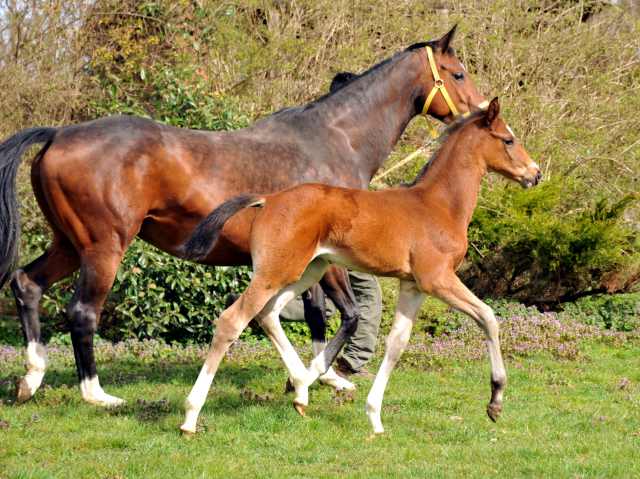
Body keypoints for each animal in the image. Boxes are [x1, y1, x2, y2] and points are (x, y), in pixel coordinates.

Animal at [0, 26, 484, 406]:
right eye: (459, 73)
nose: (482, 113)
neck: (334, 139)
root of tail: (59, 134)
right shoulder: (328, 261)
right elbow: (347, 315)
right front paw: (310, 378)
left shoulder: (311, 261)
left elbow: (315, 316)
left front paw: (316, 377)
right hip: (104, 248)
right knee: (82, 312)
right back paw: (97, 395)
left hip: (70, 243)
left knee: (27, 284)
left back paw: (31, 378)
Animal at [176, 97, 540, 436]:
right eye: (508, 140)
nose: (535, 174)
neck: (440, 204)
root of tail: (270, 199)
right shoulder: (437, 279)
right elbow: (488, 317)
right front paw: (495, 401)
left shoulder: (413, 286)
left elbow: (396, 344)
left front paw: (374, 417)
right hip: (276, 272)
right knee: (232, 320)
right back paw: (191, 416)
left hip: (307, 271)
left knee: (267, 313)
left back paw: (301, 391)